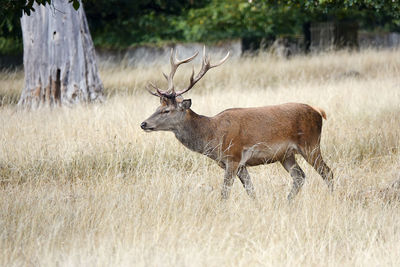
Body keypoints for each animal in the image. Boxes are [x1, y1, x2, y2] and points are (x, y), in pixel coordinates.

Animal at [141, 47, 334, 201]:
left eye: (166, 111)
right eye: (157, 107)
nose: (143, 123)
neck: (212, 135)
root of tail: (318, 111)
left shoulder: (232, 157)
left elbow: (225, 193)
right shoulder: (240, 164)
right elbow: (251, 190)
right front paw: (257, 207)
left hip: (310, 144)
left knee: (327, 172)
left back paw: (332, 199)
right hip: (286, 154)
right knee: (299, 176)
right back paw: (287, 202)